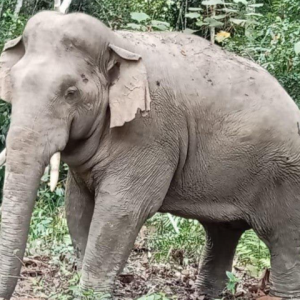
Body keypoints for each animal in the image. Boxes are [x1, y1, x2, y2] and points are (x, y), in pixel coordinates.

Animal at [0, 9, 300, 300]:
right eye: (12, 82)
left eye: (70, 92)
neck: (117, 41)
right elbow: (77, 205)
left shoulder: (149, 134)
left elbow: (122, 210)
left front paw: (90, 294)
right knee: (222, 231)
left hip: (285, 177)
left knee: (284, 240)